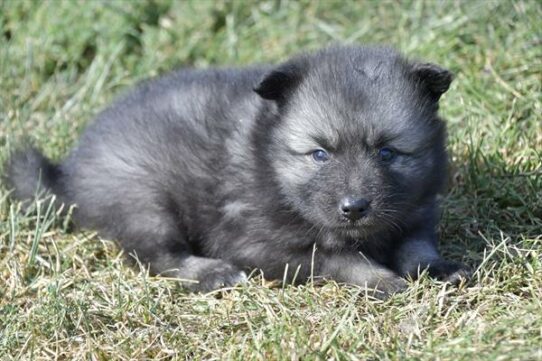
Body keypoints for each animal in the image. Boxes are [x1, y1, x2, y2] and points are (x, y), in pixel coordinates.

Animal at [4, 45, 472, 294]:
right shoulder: (259, 245)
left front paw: (440, 268)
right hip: (144, 203)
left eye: (388, 152)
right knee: (160, 255)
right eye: (320, 154)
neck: (270, 163)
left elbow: (416, 247)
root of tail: (69, 174)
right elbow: (339, 257)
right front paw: (380, 279)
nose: (354, 207)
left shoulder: (416, 215)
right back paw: (213, 272)